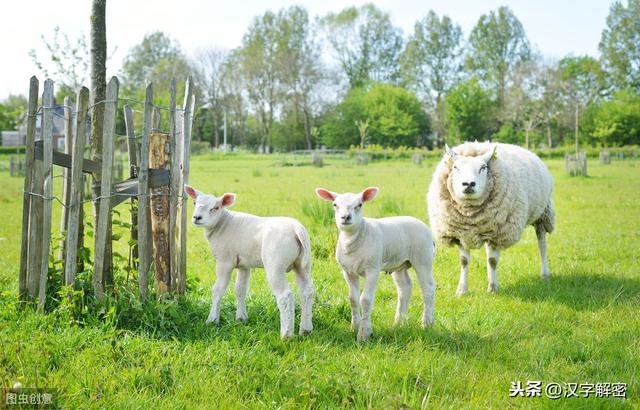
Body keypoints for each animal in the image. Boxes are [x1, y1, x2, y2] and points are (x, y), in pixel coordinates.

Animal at [185, 186, 316, 340]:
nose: (196, 218)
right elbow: (240, 289)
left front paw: (212, 321)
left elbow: (218, 289)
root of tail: (297, 230)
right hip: (303, 265)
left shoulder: (224, 261)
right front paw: (241, 319)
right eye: (194, 203)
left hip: (275, 264)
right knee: (307, 291)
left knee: (285, 296)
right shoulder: (243, 264)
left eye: (215, 208)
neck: (223, 224)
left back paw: (286, 335)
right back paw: (306, 330)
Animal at [316, 187, 436, 342]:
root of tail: (422, 224)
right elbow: (353, 299)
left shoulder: (372, 269)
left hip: (423, 258)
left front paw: (364, 333)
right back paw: (399, 323)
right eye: (335, 204)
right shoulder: (348, 272)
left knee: (428, 289)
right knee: (405, 288)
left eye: (359, 205)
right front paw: (354, 327)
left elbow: (365, 300)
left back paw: (427, 323)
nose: (345, 217)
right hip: (400, 263)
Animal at [428, 142, 556, 294]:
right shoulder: (461, 232)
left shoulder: (498, 233)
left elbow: (492, 261)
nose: (468, 184)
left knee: (542, 243)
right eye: (455, 167)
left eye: (483, 167)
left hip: (543, 213)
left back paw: (545, 274)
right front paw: (462, 290)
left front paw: (493, 289)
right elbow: (464, 260)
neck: (469, 216)